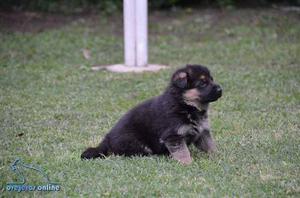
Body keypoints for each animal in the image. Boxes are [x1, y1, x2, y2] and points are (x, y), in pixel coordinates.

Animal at [81, 64, 221, 164]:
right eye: (202, 83)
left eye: (211, 79)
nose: (221, 89)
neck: (185, 105)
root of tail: (107, 139)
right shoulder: (173, 136)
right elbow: (182, 152)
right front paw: (188, 163)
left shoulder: (202, 131)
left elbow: (210, 146)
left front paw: (218, 157)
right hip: (137, 144)